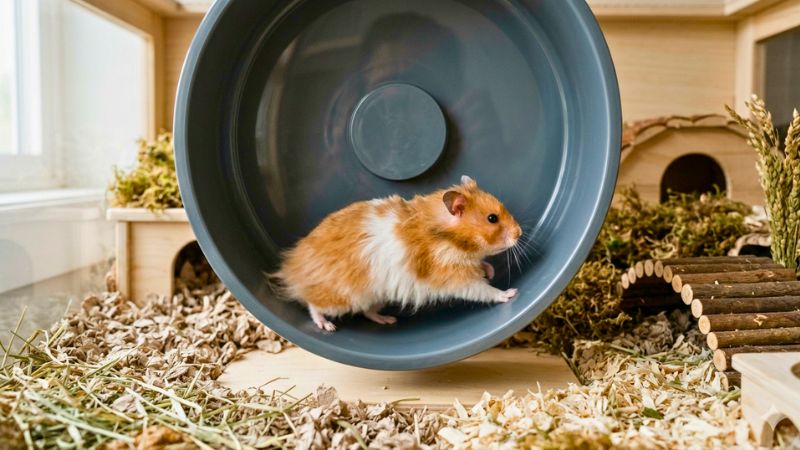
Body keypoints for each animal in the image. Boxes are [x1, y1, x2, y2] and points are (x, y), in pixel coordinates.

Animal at [273, 175, 523, 331]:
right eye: (492, 218)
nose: (519, 233)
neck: (449, 238)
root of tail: (293, 267)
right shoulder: (454, 277)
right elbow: (484, 290)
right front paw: (510, 293)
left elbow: (483, 267)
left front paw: (490, 271)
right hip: (341, 298)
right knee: (312, 304)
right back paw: (327, 326)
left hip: (378, 296)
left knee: (367, 312)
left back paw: (388, 320)